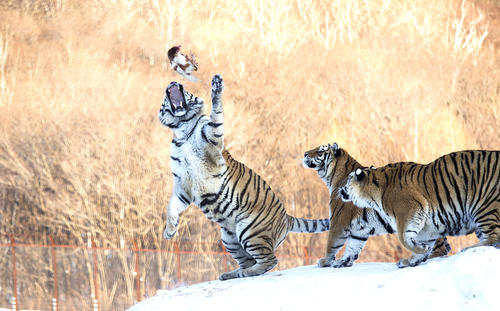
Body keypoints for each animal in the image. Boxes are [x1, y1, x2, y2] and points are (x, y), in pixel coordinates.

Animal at [159, 75, 328, 280]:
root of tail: (286, 217)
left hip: (250, 231)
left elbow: (216, 113)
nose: (173, 82)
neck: (183, 130)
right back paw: (232, 274)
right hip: (229, 238)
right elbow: (172, 207)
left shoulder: (213, 137)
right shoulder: (184, 185)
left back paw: (246, 273)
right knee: (250, 261)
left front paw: (216, 87)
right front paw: (169, 231)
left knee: (270, 260)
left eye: (188, 91)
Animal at [302, 144, 452, 268]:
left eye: (320, 150)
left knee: (437, 247)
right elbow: (353, 246)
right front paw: (344, 261)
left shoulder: (339, 221)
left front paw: (325, 261)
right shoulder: (360, 229)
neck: (333, 177)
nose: (304, 153)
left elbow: (332, 243)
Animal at [340, 151, 500, 268]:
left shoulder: (409, 211)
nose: (340, 189)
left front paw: (420, 251)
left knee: (493, 235)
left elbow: (404, 239)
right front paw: (415, 258)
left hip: (484, 205)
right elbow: (422, 240)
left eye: (348, 179)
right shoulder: (428, 225)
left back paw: (469, 248)